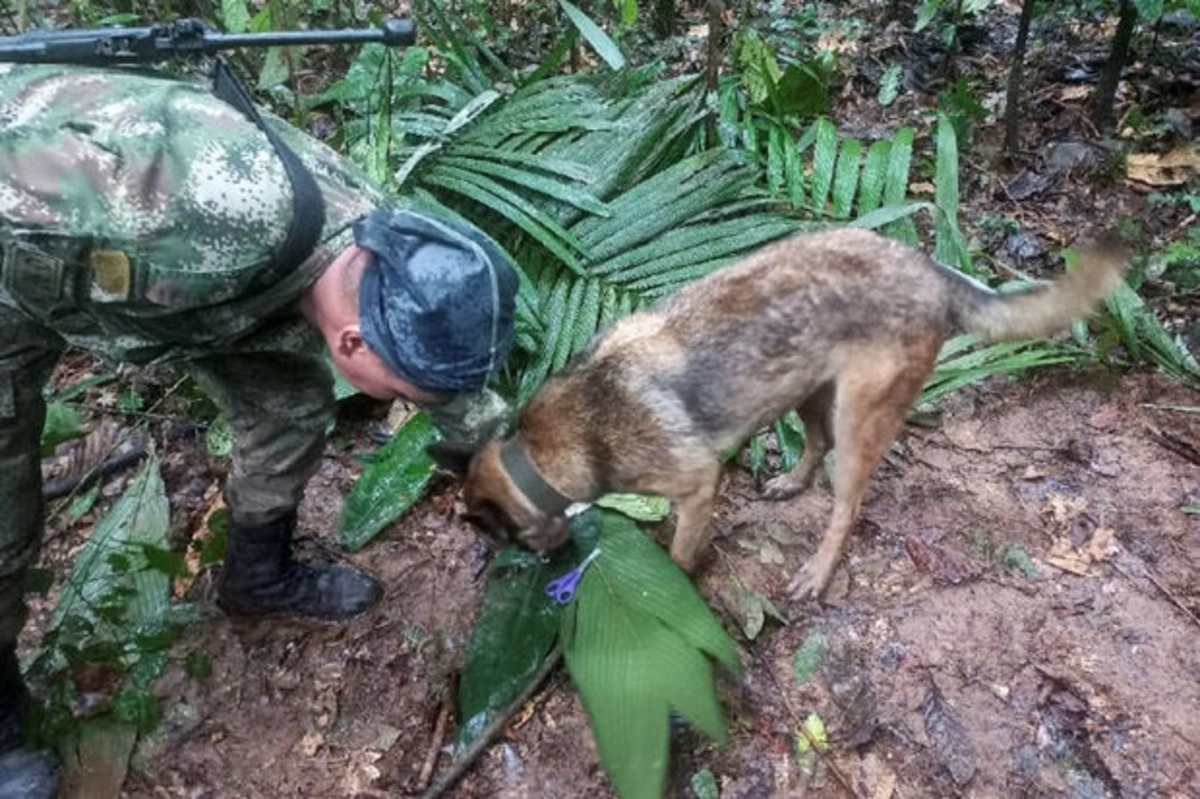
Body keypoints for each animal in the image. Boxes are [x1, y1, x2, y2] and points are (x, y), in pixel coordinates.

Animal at [429, 225, 1123, 597]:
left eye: (500, 537)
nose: (544, 566)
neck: (542, 450)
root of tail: (930, 270)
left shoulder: (696, 484)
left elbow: (679, 552)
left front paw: (676, 582)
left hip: (858, 418)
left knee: (846, 504)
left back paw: (818, 569)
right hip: (807, 391)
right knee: (814, 446)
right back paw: (791, 483)